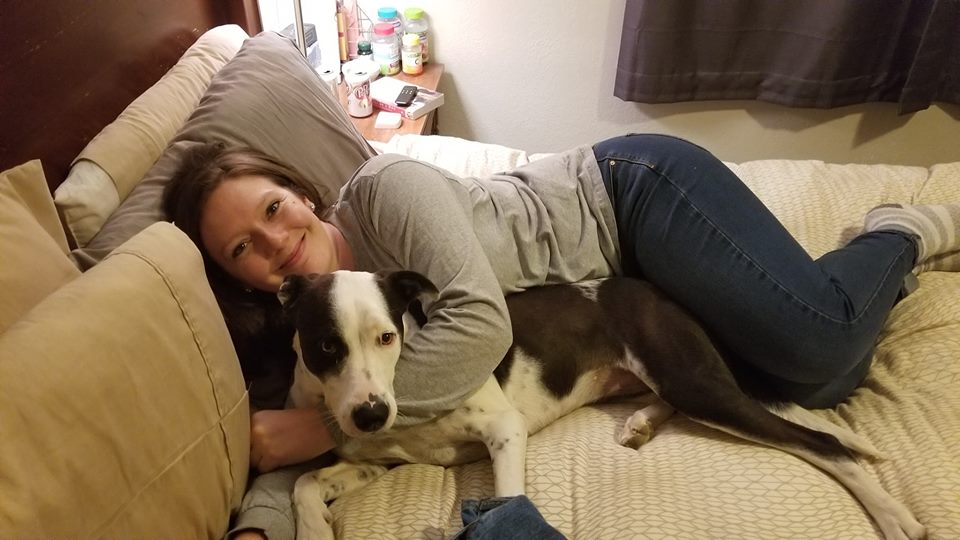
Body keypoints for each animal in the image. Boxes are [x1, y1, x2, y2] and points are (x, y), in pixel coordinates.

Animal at [282, 270, 928, 540]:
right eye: (325, 346)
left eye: (386, 336)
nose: (369, 413)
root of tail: (656, 290)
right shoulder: (375, 458)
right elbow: (305, 483)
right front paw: (314, 530)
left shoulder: (504, 430)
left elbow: (507, 499)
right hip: (670, 381)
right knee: (664, 403)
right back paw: (641, 423)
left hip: (693, 380)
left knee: (824, 442)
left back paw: (895, 517)